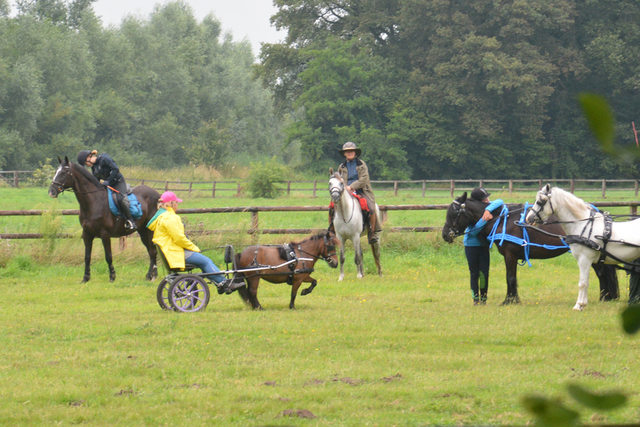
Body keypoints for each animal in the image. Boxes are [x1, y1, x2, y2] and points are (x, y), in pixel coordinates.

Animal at [442, 192, 616, 306]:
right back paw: (606, 297)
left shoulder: (510, 255)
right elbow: (512, 277)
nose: (444, 234)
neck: (502, 220)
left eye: (454, 212)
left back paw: (605, 297)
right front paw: (513, 298)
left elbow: (510, 277)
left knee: (602, 274)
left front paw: (509, 301)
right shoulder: (511, 256)